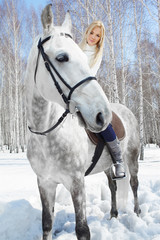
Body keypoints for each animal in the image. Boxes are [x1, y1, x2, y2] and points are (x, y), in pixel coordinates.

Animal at [24, 3, 140, 240]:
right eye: (62, 57)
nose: (102, 115)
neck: (47, 134)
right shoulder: (45, 183)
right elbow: (47, 224)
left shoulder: (76, 182)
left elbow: (82, 230)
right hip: (107, 165)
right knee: (112, 185)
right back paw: (113, 214)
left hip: (132, 158)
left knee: (133, 184)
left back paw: (136, 212)